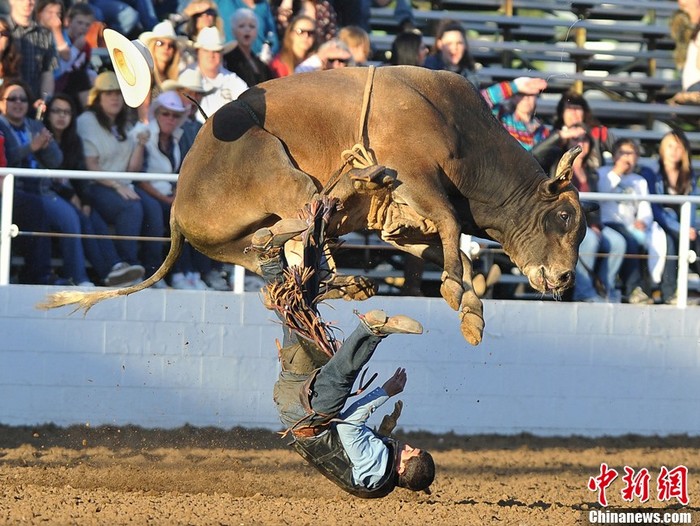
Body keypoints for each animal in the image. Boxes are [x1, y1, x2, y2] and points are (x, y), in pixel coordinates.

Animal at [38, 66, 584, 346]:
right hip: (277, 169)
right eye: (563, 217)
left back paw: (350, 277)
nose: (562, 280)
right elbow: (451, 228)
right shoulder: (417, 176)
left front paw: (469, 301)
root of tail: (177, 203)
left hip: (238, 245)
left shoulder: (401, 222)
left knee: (282, 264)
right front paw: (460, 299)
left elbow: (449, 246)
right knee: (297, 228)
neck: (454, 122)